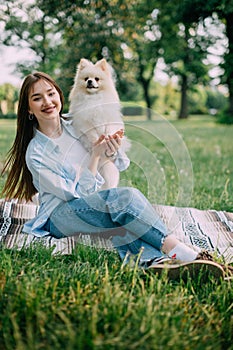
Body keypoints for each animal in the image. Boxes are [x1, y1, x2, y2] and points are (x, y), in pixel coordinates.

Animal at [68, 58, 130, 189]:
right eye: (86, 78)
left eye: (96, 79)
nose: (90, 81)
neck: (93, 99)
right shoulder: (84, 122)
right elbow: (92, 133)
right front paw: (97, 141)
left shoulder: (108, 118)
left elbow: (108, 130)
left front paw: (107, 138)